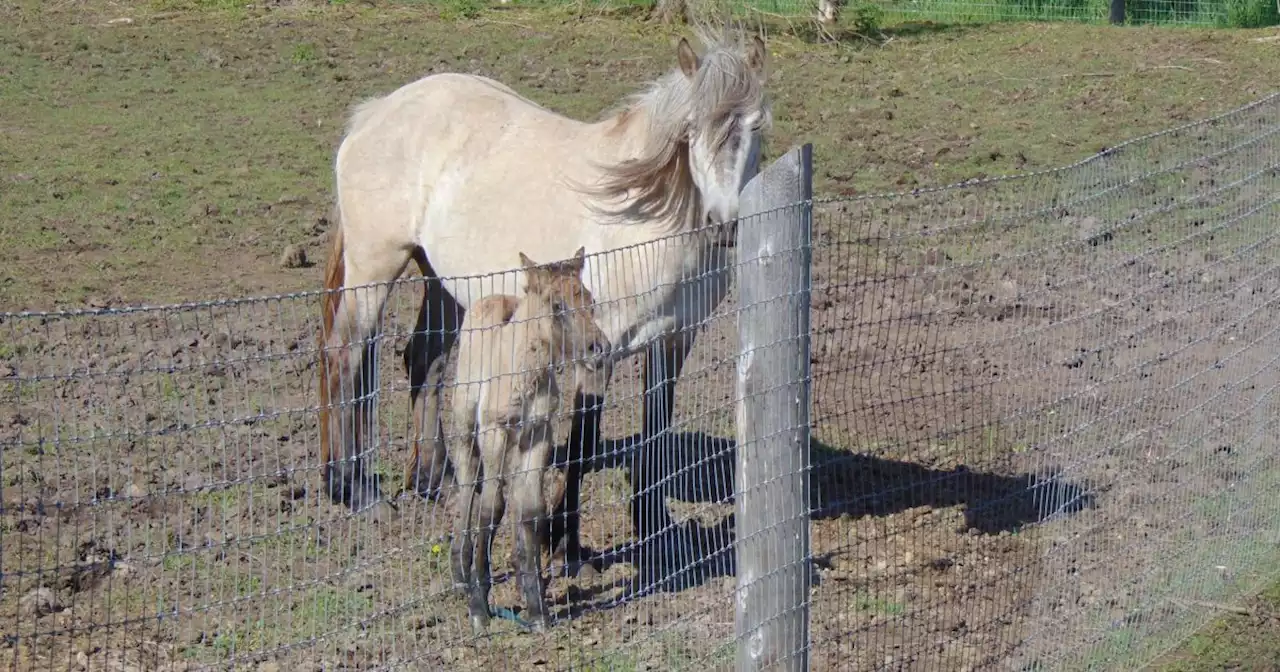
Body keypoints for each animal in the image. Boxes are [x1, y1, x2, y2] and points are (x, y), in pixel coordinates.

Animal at [320, 27, 773, 576]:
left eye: (756, 124)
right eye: (689, 129)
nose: (724, 224)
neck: (645, 220)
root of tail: (376, 112)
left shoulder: (673, 340)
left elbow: (657, 432)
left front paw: (655, 531)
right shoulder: (601, 345)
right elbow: (582, 443)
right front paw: (566, 546)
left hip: (443, 282)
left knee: (423, 363)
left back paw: (438, 482)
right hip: (374, 269)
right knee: (345, 356)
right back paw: (355, 490)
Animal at [450, 247, 609, 634]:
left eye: (589, 300)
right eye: (556, 305)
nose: (599, 349)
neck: (526, 373)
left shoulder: (538, 435)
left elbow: (532, 510)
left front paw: (537, 607)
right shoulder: (494, 432)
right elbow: (490, 509)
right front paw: (479, 607)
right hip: (466, 427)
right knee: (468, 488)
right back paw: (460, 573)